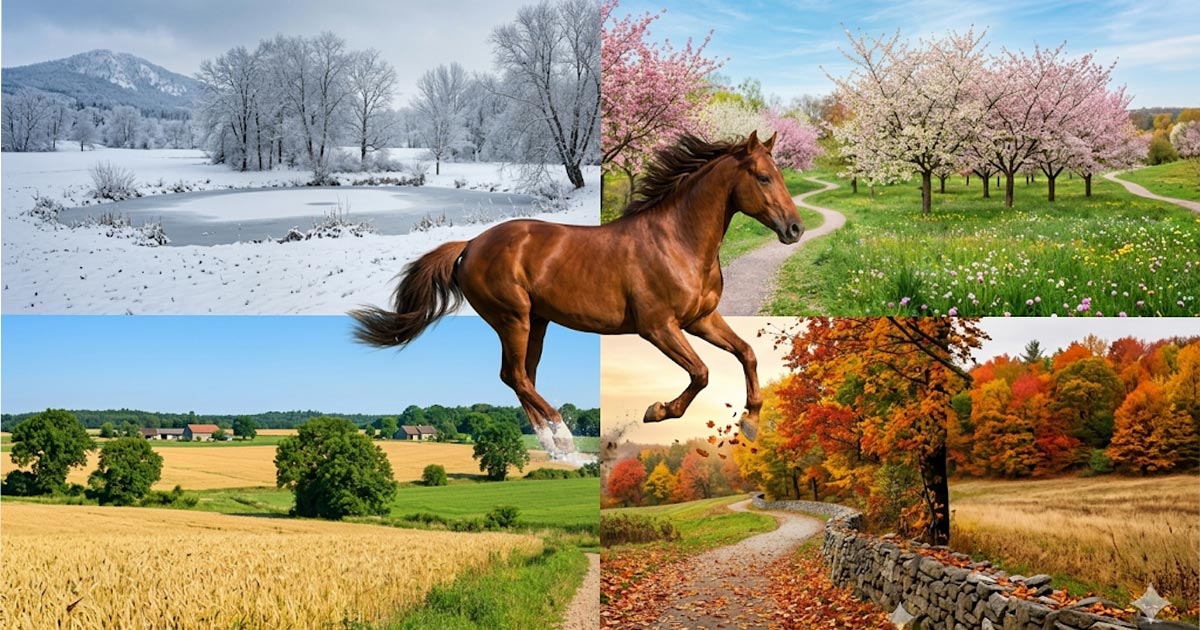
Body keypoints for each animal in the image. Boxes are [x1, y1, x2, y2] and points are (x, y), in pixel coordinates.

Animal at [350, 130, 803, 456]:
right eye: (764, 177)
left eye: (781, 176)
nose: (795, 228)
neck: (679, 241)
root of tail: (470, 245)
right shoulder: (658, 327)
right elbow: (702, 372)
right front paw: (657, 411)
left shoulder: (700, 319)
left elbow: (746, 352)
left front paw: (751, 422)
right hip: (513, 318)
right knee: (516, 376)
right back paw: (564, 437)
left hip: (536, 322)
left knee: (520, 378)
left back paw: (553, 447)